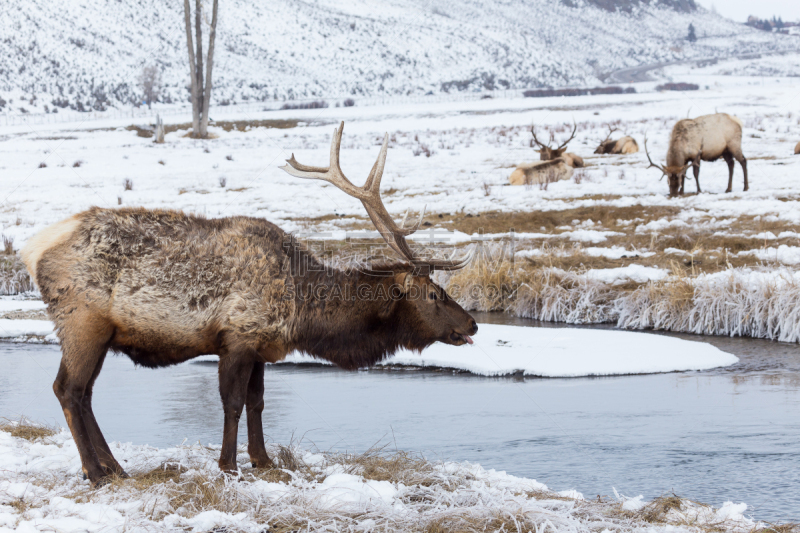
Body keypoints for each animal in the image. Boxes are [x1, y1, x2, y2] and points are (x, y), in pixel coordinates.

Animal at [21, 121, 478, 486]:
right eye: (433, 294)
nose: (472, 325)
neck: (302, 311)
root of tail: (32, 249)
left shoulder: (261, 345)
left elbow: (258, 403)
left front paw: (264, 460)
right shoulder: (237, 337)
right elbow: (233, 404)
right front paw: (229, 466)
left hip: (100, 333)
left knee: (85, 393)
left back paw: (114, 466)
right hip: (82, 323)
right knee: (68, 389)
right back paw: (95, 472)